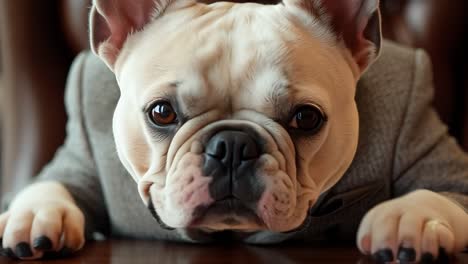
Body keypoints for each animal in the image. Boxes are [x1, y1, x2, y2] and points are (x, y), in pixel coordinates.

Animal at [0, 0, 468, 260]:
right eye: (161, 113)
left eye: (306, 118)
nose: (231, 145)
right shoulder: (83, 159)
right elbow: (54, 182)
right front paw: (32, 214)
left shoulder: (418, 143)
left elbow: (441, 189)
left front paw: (411, 219)